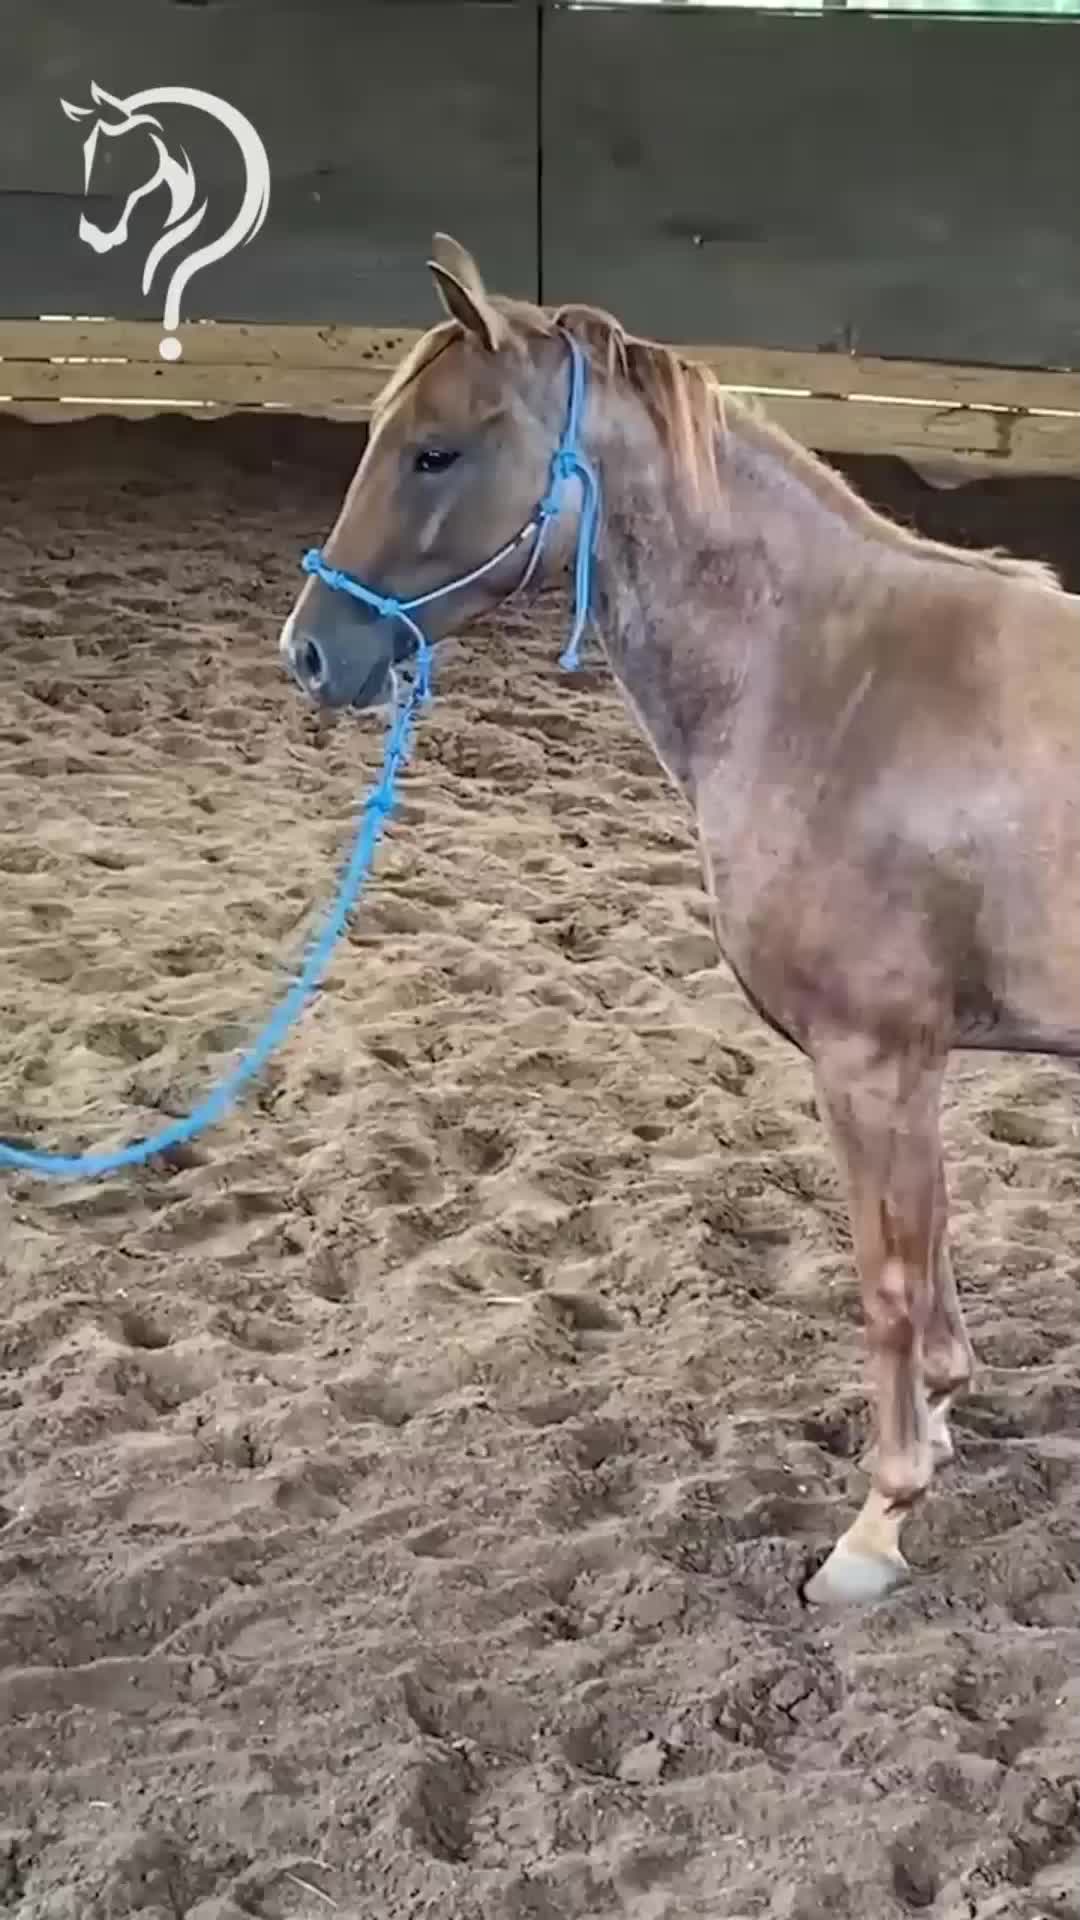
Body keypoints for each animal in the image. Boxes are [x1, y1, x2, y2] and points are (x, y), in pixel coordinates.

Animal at [279, 232, 1080, 1606]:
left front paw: (876, 1526)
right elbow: (932, 1265)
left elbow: (885, 1282)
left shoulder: (869, 1060)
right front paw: (942, 1420)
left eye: (436, 450)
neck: (839, 682)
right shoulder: (921, 1063)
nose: (315, 653)